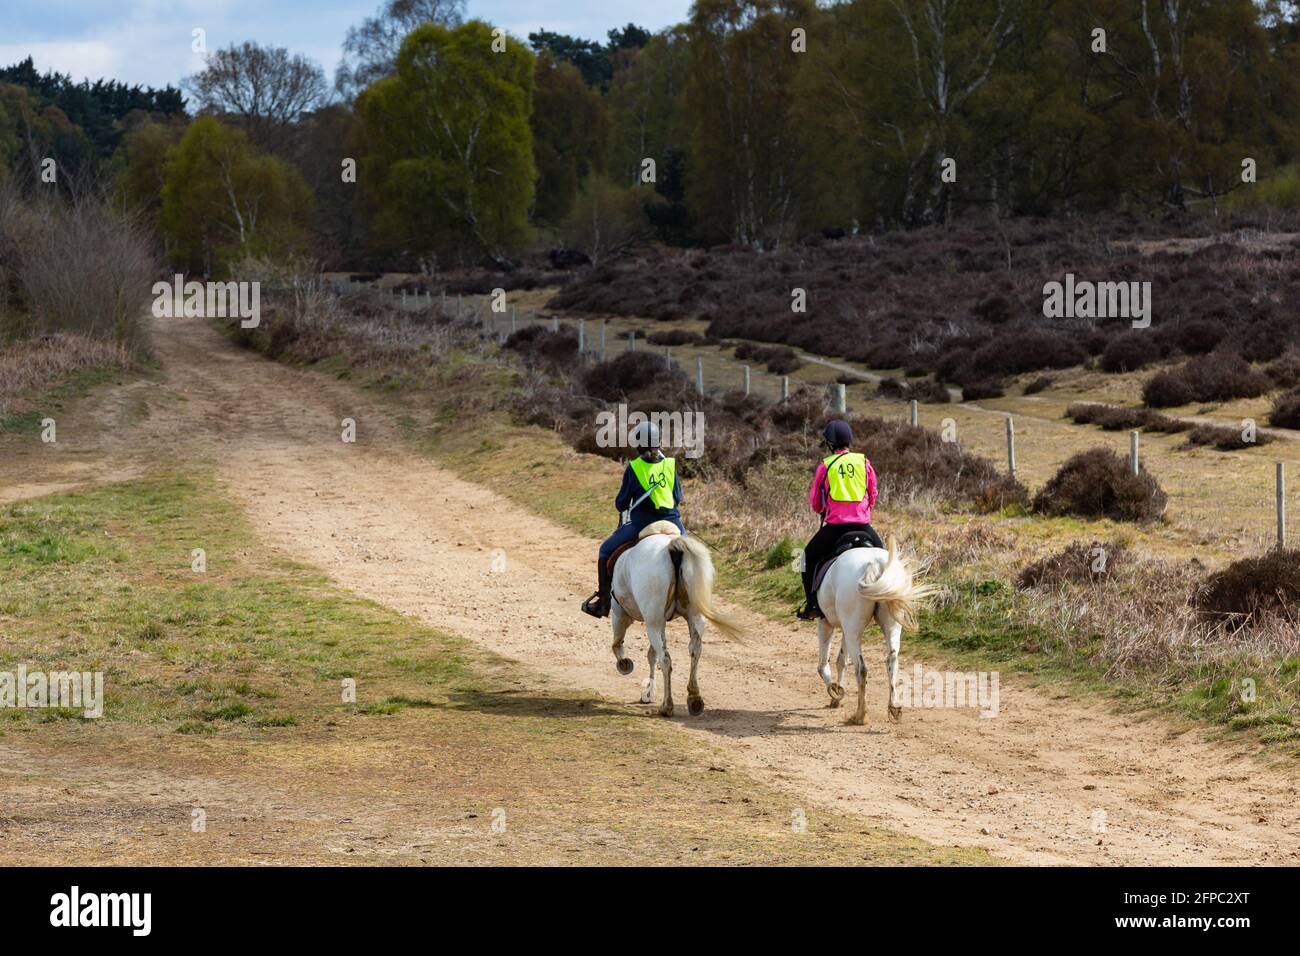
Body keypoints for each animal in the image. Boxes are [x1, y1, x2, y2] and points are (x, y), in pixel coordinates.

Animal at [608, 520, 742, 717]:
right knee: (695, 651)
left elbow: (618, 643)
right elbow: (651, 654)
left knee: (665, 659)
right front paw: (649, 692)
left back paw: (667, 706)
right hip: (693, 617)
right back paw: (694, 699)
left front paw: (625, 665)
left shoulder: (620, 614)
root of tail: (672, 546)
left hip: (653, 623)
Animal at [813, 538, 934, 726]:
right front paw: (838, 693)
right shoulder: (846, 629)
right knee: (892, 659)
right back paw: (894, 708)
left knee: (861, 669)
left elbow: (823, 665)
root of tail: (875, 563)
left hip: (852, 628)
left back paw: (860, 715)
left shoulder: (825, 623)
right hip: (889, 623)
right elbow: (841, 661)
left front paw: (834, 692)